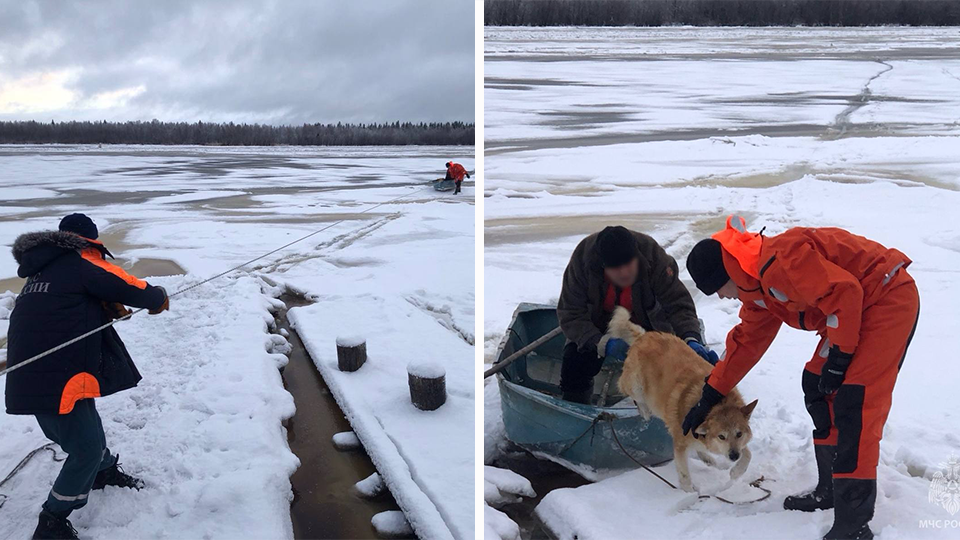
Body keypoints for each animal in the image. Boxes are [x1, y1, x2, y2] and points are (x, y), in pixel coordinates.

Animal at [608, 306, 756, 492]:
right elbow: (684, 473)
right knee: (631, 393)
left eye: (739, 433)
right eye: (721, 436)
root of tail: (644, 336)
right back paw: (645, 410)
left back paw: (708, 458)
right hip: (635, 384)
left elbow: (748, 453)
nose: (734, 455)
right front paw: (688, 492)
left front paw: (737, 471)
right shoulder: (679, 444)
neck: (711, 405)